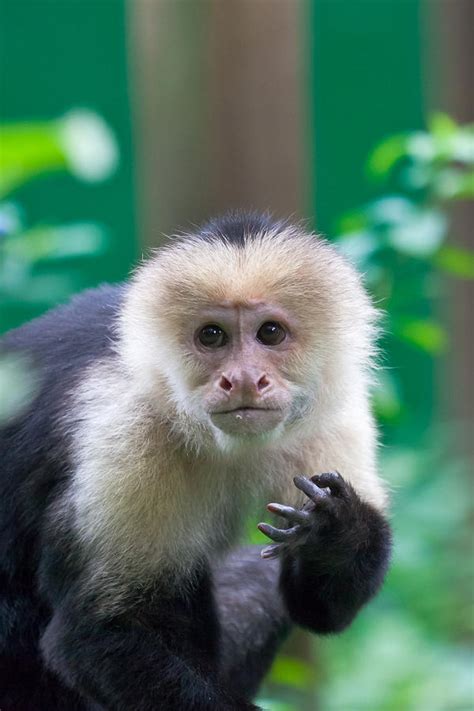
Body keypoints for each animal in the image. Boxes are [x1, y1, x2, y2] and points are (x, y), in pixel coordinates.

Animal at [0, 213, 390, 711]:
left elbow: (321, 611)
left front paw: (332, 532)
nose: (242, 379)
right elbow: (96, 633)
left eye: (270, 333)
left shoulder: (334, 412)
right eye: (212, 336)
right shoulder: (125, 428)